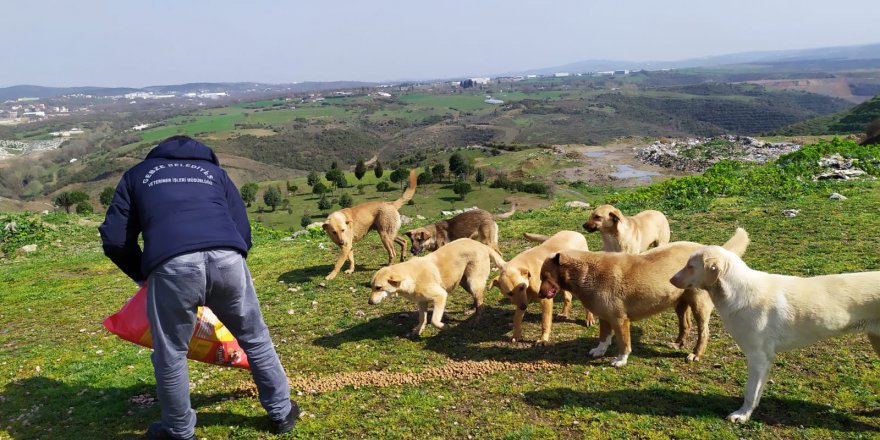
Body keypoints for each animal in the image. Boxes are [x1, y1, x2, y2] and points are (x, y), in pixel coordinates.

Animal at [368, 237, 506, 336]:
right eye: (372, 287)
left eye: (379, 287)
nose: (369, 302)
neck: (411, 277)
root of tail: (482, 245)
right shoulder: (421, 302)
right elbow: (422, 318)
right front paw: (418, 331)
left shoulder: (440, 296)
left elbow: (434, 320)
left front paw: (444, 327)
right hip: (464, 282)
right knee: (477, 300)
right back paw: (472, 309)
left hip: (473, 282)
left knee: (481, 305)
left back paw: (475, 321)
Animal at [536, 229, 748, 366]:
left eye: (545, 276)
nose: (539, 295)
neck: (586, 272)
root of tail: (707, 250)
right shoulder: (605, 317)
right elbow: (604, 337)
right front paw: (600, 351)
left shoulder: (620, 320)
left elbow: (624, 344)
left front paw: (620, 360)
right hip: (679, 302)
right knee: (685, 324)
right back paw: (678, 343)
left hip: (699, 304)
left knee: (704, 332)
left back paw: (696, 354)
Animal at [668, 246, 880, 422]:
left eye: (690, 266)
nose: (670, 280)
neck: (737, 292)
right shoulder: (766, 359)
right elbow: (757, 392)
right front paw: (750, 412)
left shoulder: (757, 357)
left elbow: (750, 391)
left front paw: (742, 415)